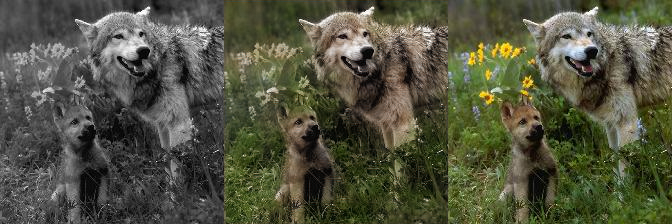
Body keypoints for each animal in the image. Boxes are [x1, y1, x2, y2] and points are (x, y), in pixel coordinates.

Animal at [74, 6, 223, 182]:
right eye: (118, 36)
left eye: (141, 34)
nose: (144, 50)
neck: (159, 66)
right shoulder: (163, 124)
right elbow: (167, 158)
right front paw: (171, 188)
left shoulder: (179, 123)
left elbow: (177, 162)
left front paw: (180, 188)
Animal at [298, 7, 446, 150]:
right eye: (342, 36)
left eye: (365, 34)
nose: (368, 50)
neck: (383, 65)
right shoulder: (386, 124)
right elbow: (393, 154)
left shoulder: (402, 124)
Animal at [520, 7, 668, 178]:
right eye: (566, 36)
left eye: (589, 34)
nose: (592, 50)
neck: (607, 64)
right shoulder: (611, 124)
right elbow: (615, 158)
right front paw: (618, 185)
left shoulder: (626, 123)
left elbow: (624, 164)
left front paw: (628, 186)